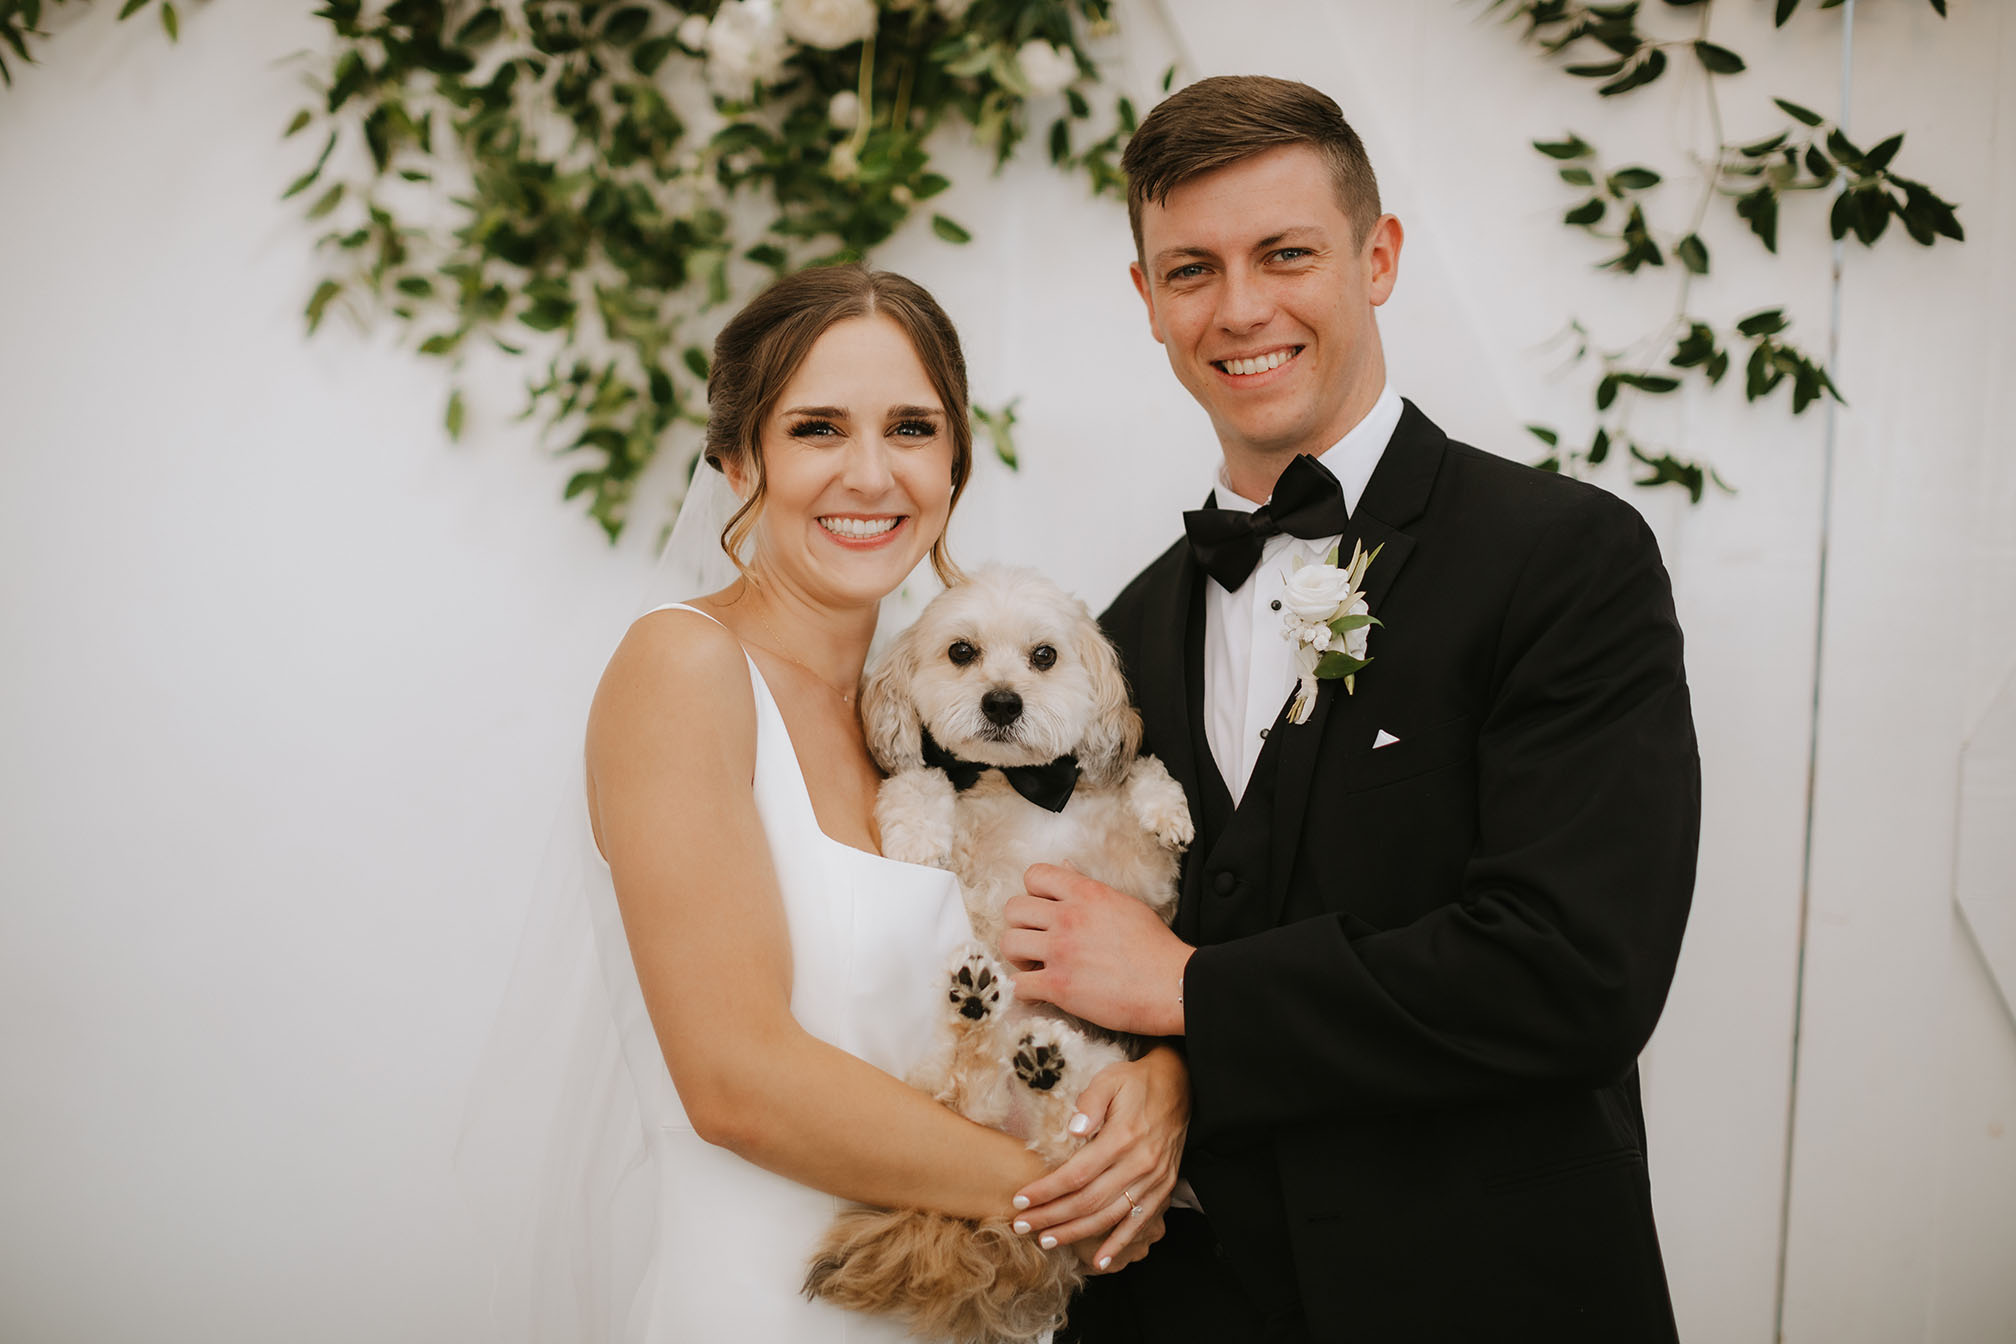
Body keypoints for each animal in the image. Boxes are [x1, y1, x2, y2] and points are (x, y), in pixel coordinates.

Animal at [794, 564, 1185, 1344]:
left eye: (1044, 656)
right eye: (961, 652)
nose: (1002, 701)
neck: (1029, 794)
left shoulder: (1143, 882)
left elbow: (1140, 777)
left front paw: (1168, 808)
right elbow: (919, 781)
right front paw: (918, 832)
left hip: (1095, 1077)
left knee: (1062, 1139)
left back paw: (1039, 1064)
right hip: (945, 1093)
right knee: (966, 1092)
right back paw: (980, 1009)